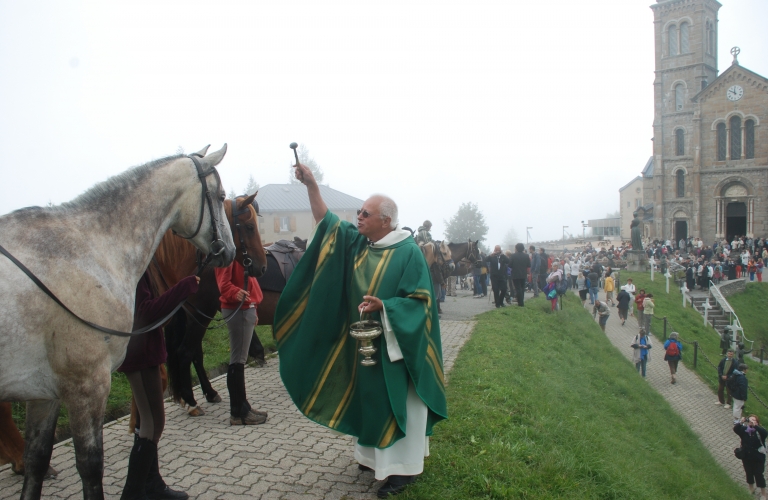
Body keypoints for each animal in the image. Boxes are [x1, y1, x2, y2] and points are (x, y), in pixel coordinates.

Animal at [0, 145, 236, 500]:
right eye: (221, 196)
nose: (231, 251)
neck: (90, 252)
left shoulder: (44, 393)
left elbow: (36, 462)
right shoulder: (88, 386)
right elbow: (90, 467)